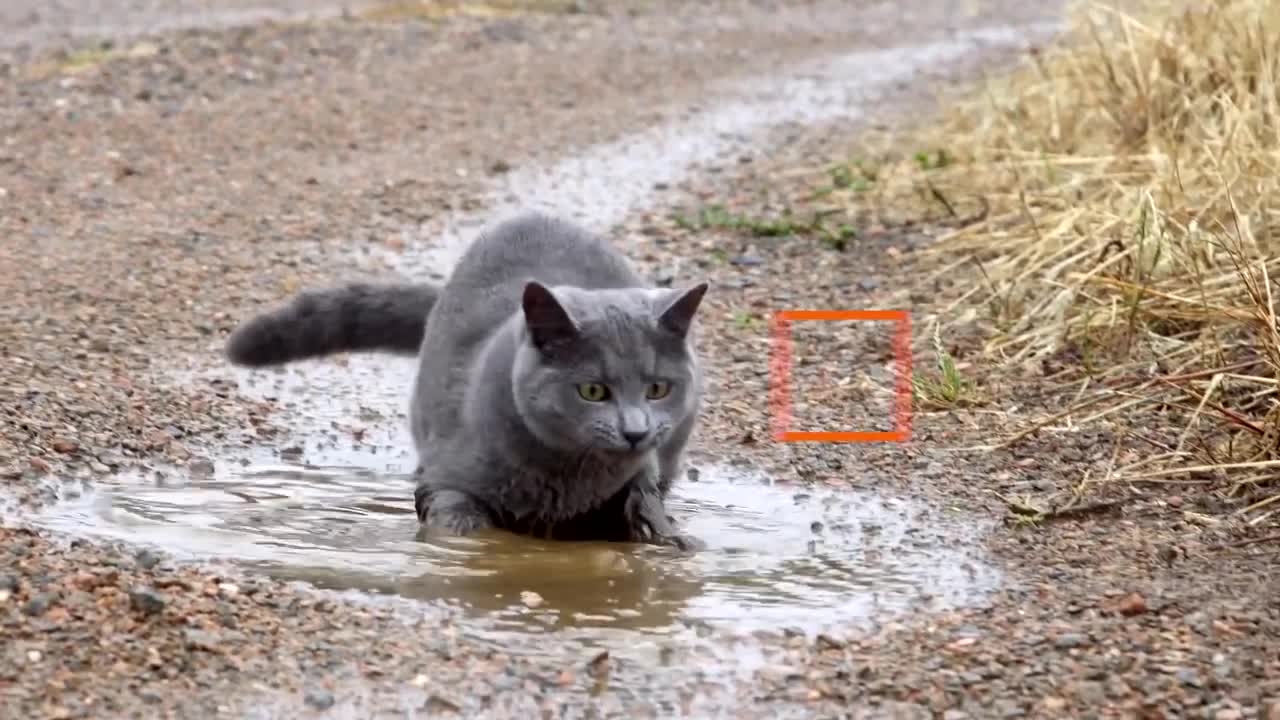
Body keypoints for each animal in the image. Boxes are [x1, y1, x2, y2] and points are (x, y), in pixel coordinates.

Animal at [227, 210, 711, 545]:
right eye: (593, 390)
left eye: (658, 389)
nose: (636, 431)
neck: (570, 480)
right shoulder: (445, 477)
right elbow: (454, 512)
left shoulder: (640, 475)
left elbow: (642, 503)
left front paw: (668, 537)